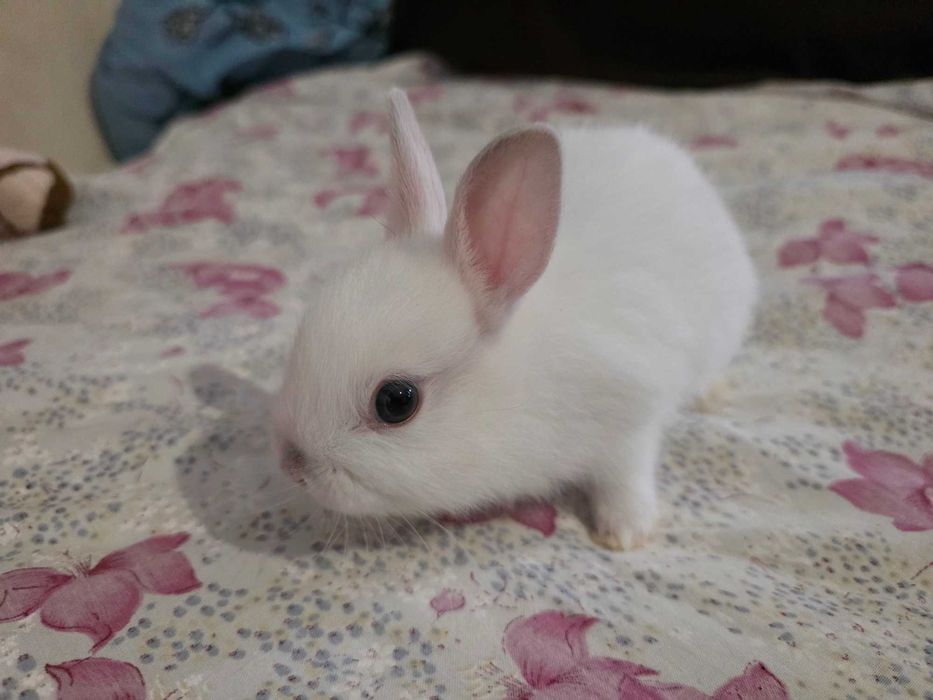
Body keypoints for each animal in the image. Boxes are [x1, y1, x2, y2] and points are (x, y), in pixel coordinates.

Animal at [272, 88, 757, 550]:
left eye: (396, 402)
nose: (293, 467)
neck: (517, 383)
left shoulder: (629, 420)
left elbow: (626, 478)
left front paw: (625, 533)